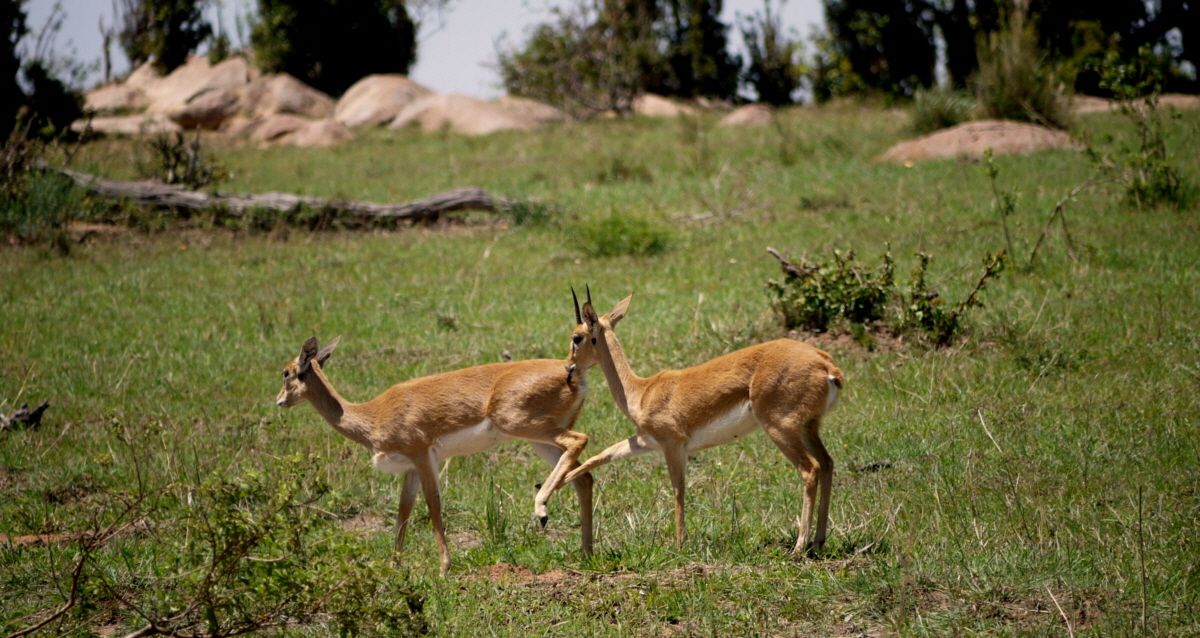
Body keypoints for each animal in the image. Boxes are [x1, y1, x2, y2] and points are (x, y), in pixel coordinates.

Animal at [278, 323, 600, 578]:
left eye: (286, 372)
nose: (279, 401)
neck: (373, 415)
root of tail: (573, 372)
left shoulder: (422, 456)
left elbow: (433, 503)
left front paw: (444, 567)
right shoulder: (409, 467)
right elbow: (404, 510)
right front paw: (394, 567)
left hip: (526, 427)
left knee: (579, 441)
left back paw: (542, 511)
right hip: (538, 440)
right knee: (583, 478)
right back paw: (586, 554)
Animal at [552, 289, 844, 554]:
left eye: (577, 337)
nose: (568, 369)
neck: (641, 392)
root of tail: (826, 365)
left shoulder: (673, 445)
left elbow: (678, 489)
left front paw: (680, 544)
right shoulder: (645, 442)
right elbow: (603, 455)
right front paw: (552, 489)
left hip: (780, 428)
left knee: (811, 469)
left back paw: (799, 547)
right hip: (807, 428)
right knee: (828, 464)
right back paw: (818, 541)